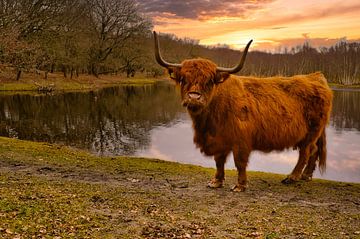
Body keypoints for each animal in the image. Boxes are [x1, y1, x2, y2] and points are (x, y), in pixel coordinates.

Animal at [153, 32, 334, 192]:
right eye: (183, 79)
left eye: (209, 81)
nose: (194, 97)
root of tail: (315, 77)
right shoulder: (219, 139)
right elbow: (219, 161)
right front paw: (216, 182)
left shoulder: (241, 141)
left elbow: (239, 162)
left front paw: (240, 186)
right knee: (314, 151)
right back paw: (305, 176)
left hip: (311, 132)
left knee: (306, 152)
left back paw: (292, 177)